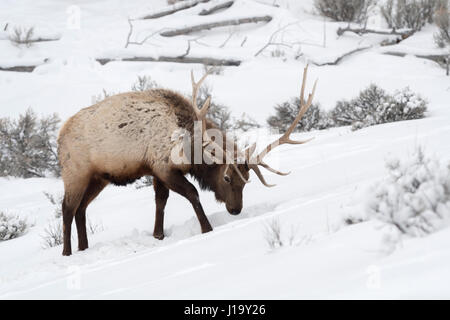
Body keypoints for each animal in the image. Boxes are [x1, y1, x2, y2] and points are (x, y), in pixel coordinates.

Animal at [57, 65, 316, 255]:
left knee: (81, 209)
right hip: (75, 173)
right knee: (67, 209)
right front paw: (207, 228)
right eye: (226, 177)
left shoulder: (157, 171)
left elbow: (161, 202)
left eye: (246, 179)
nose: (235, 210)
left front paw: (158, 235)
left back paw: (84, 248)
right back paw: (67, 252)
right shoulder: (163, 167)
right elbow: (193, 193)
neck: (189, 147)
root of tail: (60, 136)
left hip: (99, 178)